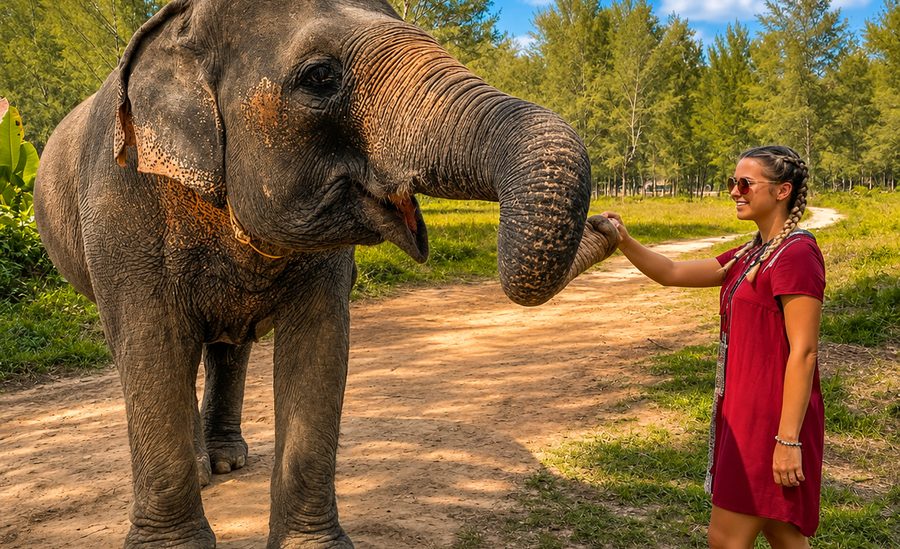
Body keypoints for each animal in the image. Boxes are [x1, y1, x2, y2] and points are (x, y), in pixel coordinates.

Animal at [33, 0, 619, 546]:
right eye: (319, 76)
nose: (609, 222)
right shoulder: (119, 202)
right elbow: (150, 345)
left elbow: (319, 346)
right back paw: (206, 469)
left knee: (228, 346)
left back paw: (224, 461)